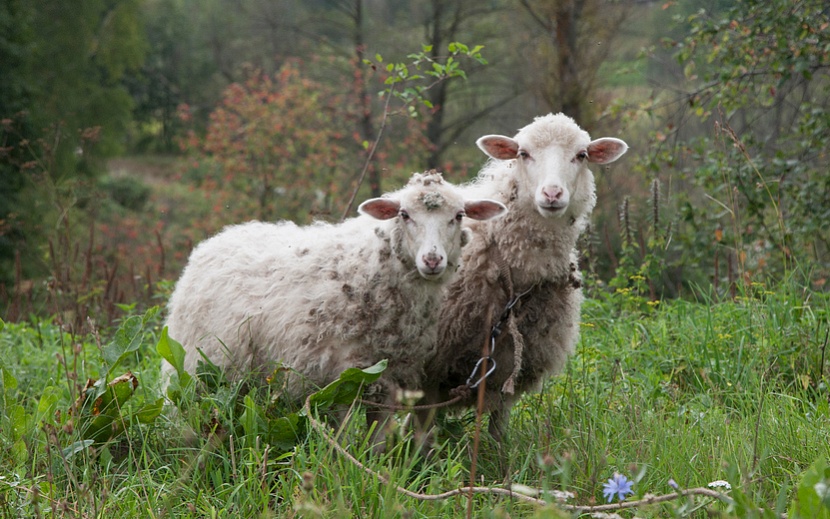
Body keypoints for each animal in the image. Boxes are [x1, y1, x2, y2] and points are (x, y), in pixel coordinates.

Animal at [159, 174, 504, 438]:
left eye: (458, 216)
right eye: (404, 215)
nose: (432, 260)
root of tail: (215, 241)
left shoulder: (389, 380)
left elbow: (378, 442)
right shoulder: (341, 379)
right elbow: (342, 438)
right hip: (194, 365)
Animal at [422, 112, 632, 438]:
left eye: (581, 155)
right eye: (523, 153)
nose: (552, 193)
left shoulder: (509, 369)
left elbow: (497, 430)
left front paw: (496, 452)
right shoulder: (430, 369)